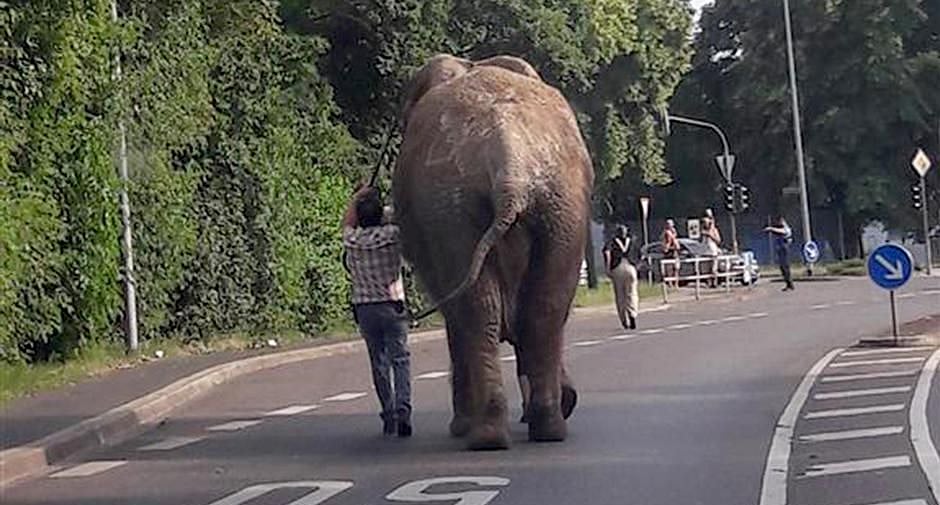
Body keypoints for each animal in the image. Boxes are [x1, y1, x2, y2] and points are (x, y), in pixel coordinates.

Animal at [392, 54, 594, 450]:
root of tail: (509, 162)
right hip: (559, 204)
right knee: (544, 307)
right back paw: (542, 427)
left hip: (453, 207)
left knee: (480, 311)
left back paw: (488, 433)